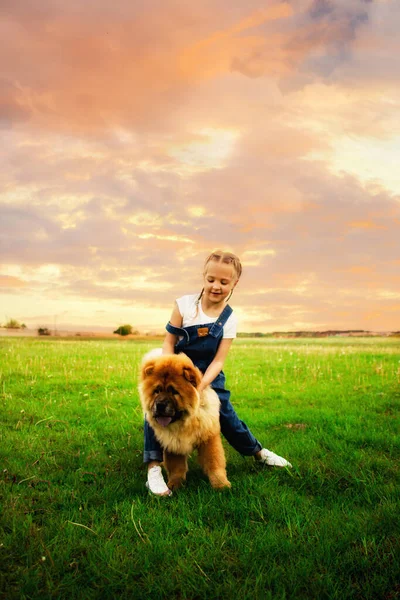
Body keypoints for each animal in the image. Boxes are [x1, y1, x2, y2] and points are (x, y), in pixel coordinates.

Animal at [138, 354, 230, 490]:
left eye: (174, 391)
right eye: (157, 391)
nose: (160, 405)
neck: (185, 424)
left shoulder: (208, 438)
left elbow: (214, 461)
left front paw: (220, 484)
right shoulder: (173, 443)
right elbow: (176, 466)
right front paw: (175, 484)